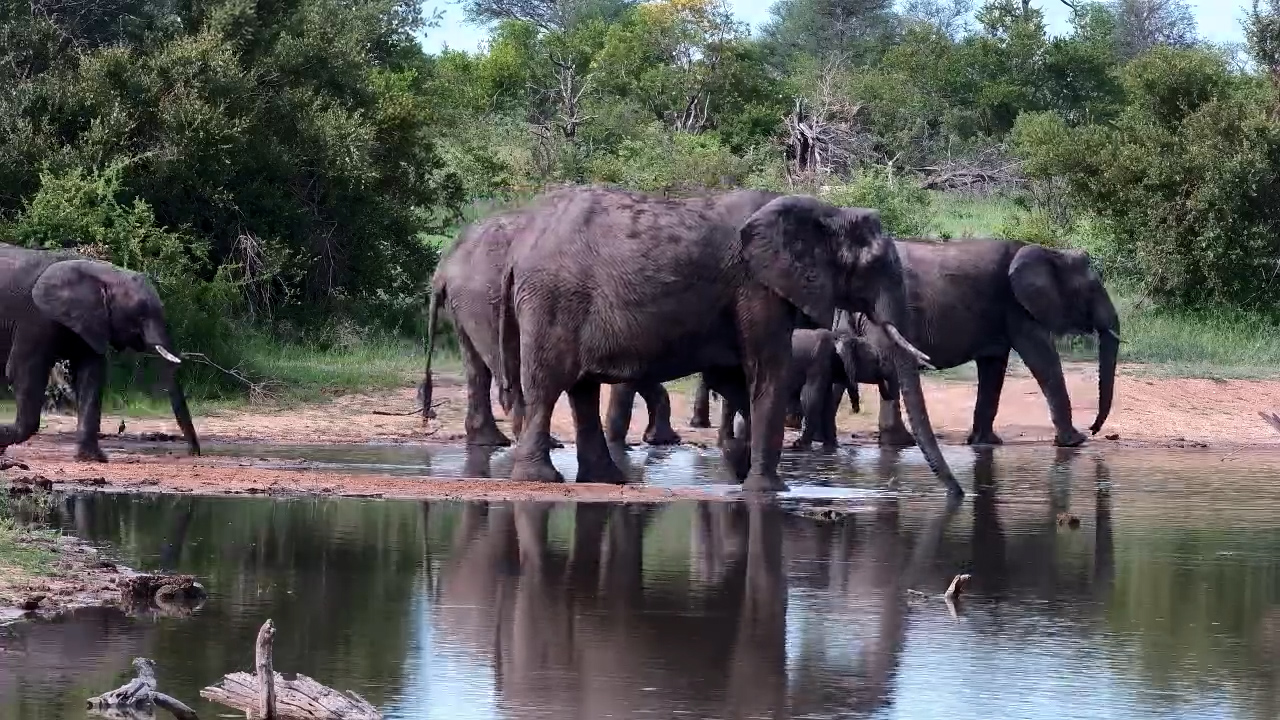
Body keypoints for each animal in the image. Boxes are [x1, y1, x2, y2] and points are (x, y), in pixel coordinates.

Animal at [0, 244, 200, 461]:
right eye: (141, 315)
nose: (193, 453)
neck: (102, 274)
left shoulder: (90, 321)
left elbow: (91, 376)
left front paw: (93, 458)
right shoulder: (35, 320)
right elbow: (22, 371)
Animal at [420, 204, 678, 447]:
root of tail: (445, 264)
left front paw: (659, 440)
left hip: (468, 303)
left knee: (477, 364)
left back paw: (491, 441)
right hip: (485, 299)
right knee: (508, 364)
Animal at [496, 187, 960, 495]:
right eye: (874, 264)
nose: (958, 495)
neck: (824, 213)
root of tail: (517, 249)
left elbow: (736, 379)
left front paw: (740, 467)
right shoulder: (757, 287)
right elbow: (768, 372)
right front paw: (769, 489)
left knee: (582, 391)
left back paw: (606, 481)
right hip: (553, 300)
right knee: (548, 385)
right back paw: (542, 480)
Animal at [839, 238, 1119, 448]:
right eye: (1091, 290)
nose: (1094, 429)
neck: (1051, 252)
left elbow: (993, 367)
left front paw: (985, 443)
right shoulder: (1016, 307)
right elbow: (1043, 358)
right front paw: (1075, 442)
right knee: (889, 368)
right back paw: (901, 443)